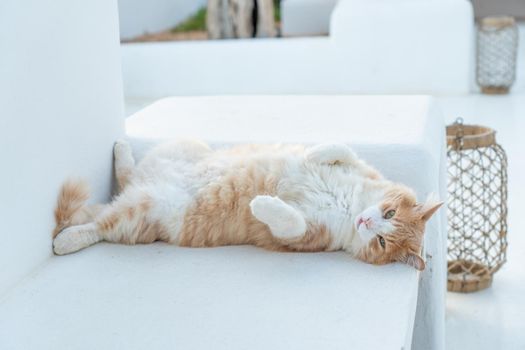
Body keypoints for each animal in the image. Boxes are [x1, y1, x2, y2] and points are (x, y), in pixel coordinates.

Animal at [53, 140, 440, 270]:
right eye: (389, 213)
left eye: (382, 242)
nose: (366, 223)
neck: (349, 206)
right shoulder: (359, 167)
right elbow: (343, 150)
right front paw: (313, 153)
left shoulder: (301, 239)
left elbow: (291, 222)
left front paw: (261, 204)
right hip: (181, 149)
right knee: (127, 174)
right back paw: (121, 150)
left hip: (138, 213)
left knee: (99, 225)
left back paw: (64, 241)